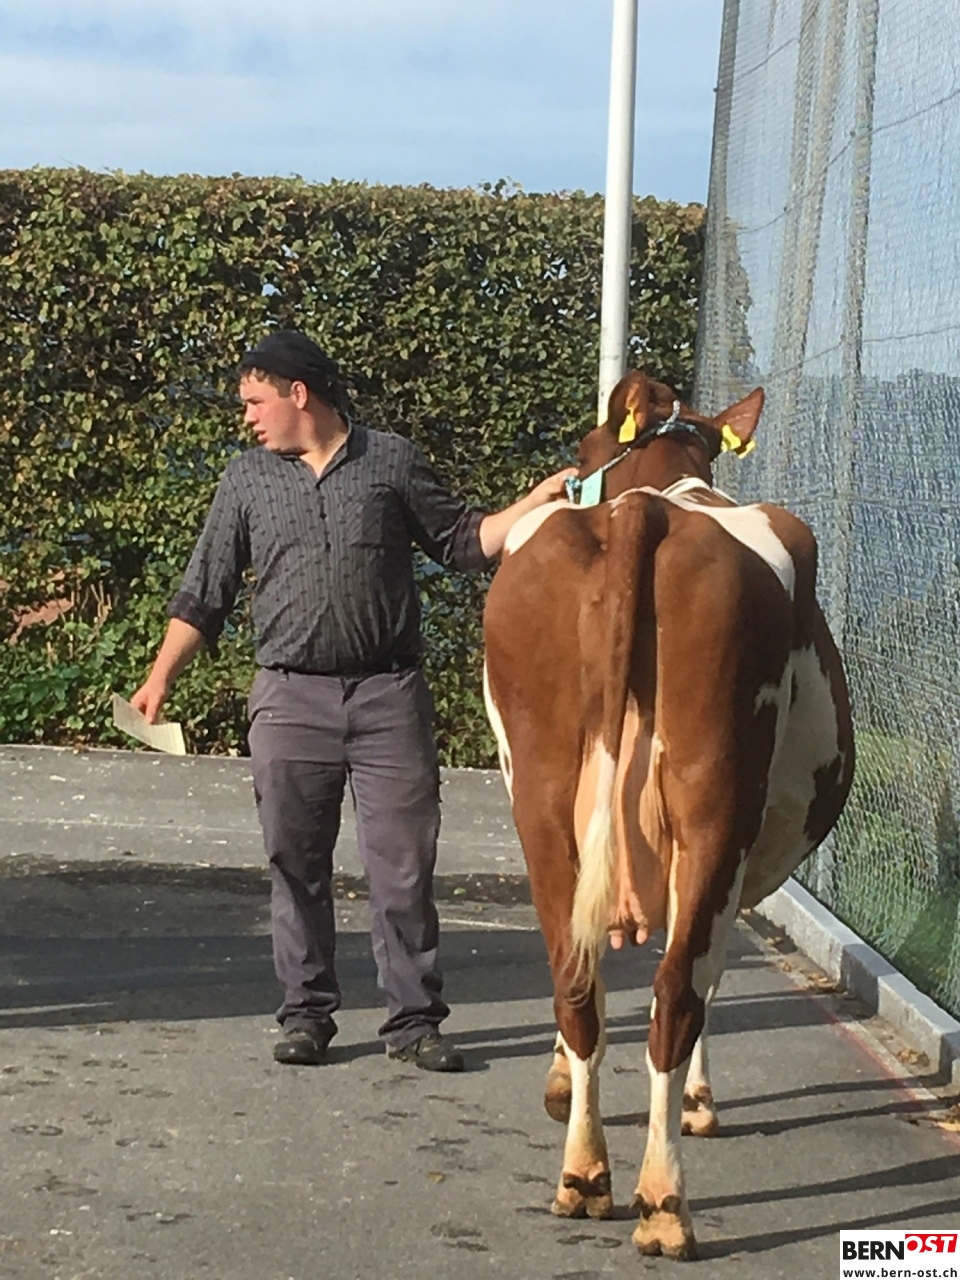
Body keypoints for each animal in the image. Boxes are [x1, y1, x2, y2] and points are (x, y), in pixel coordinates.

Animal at [482, 370, 854, 1260]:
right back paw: (662, 1202)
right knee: (676, 990)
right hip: (713, 796)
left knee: (576, 974)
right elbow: (712, 976)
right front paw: (700, 1102)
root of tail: (640, 513)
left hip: (541, 794)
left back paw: (585, 1177)